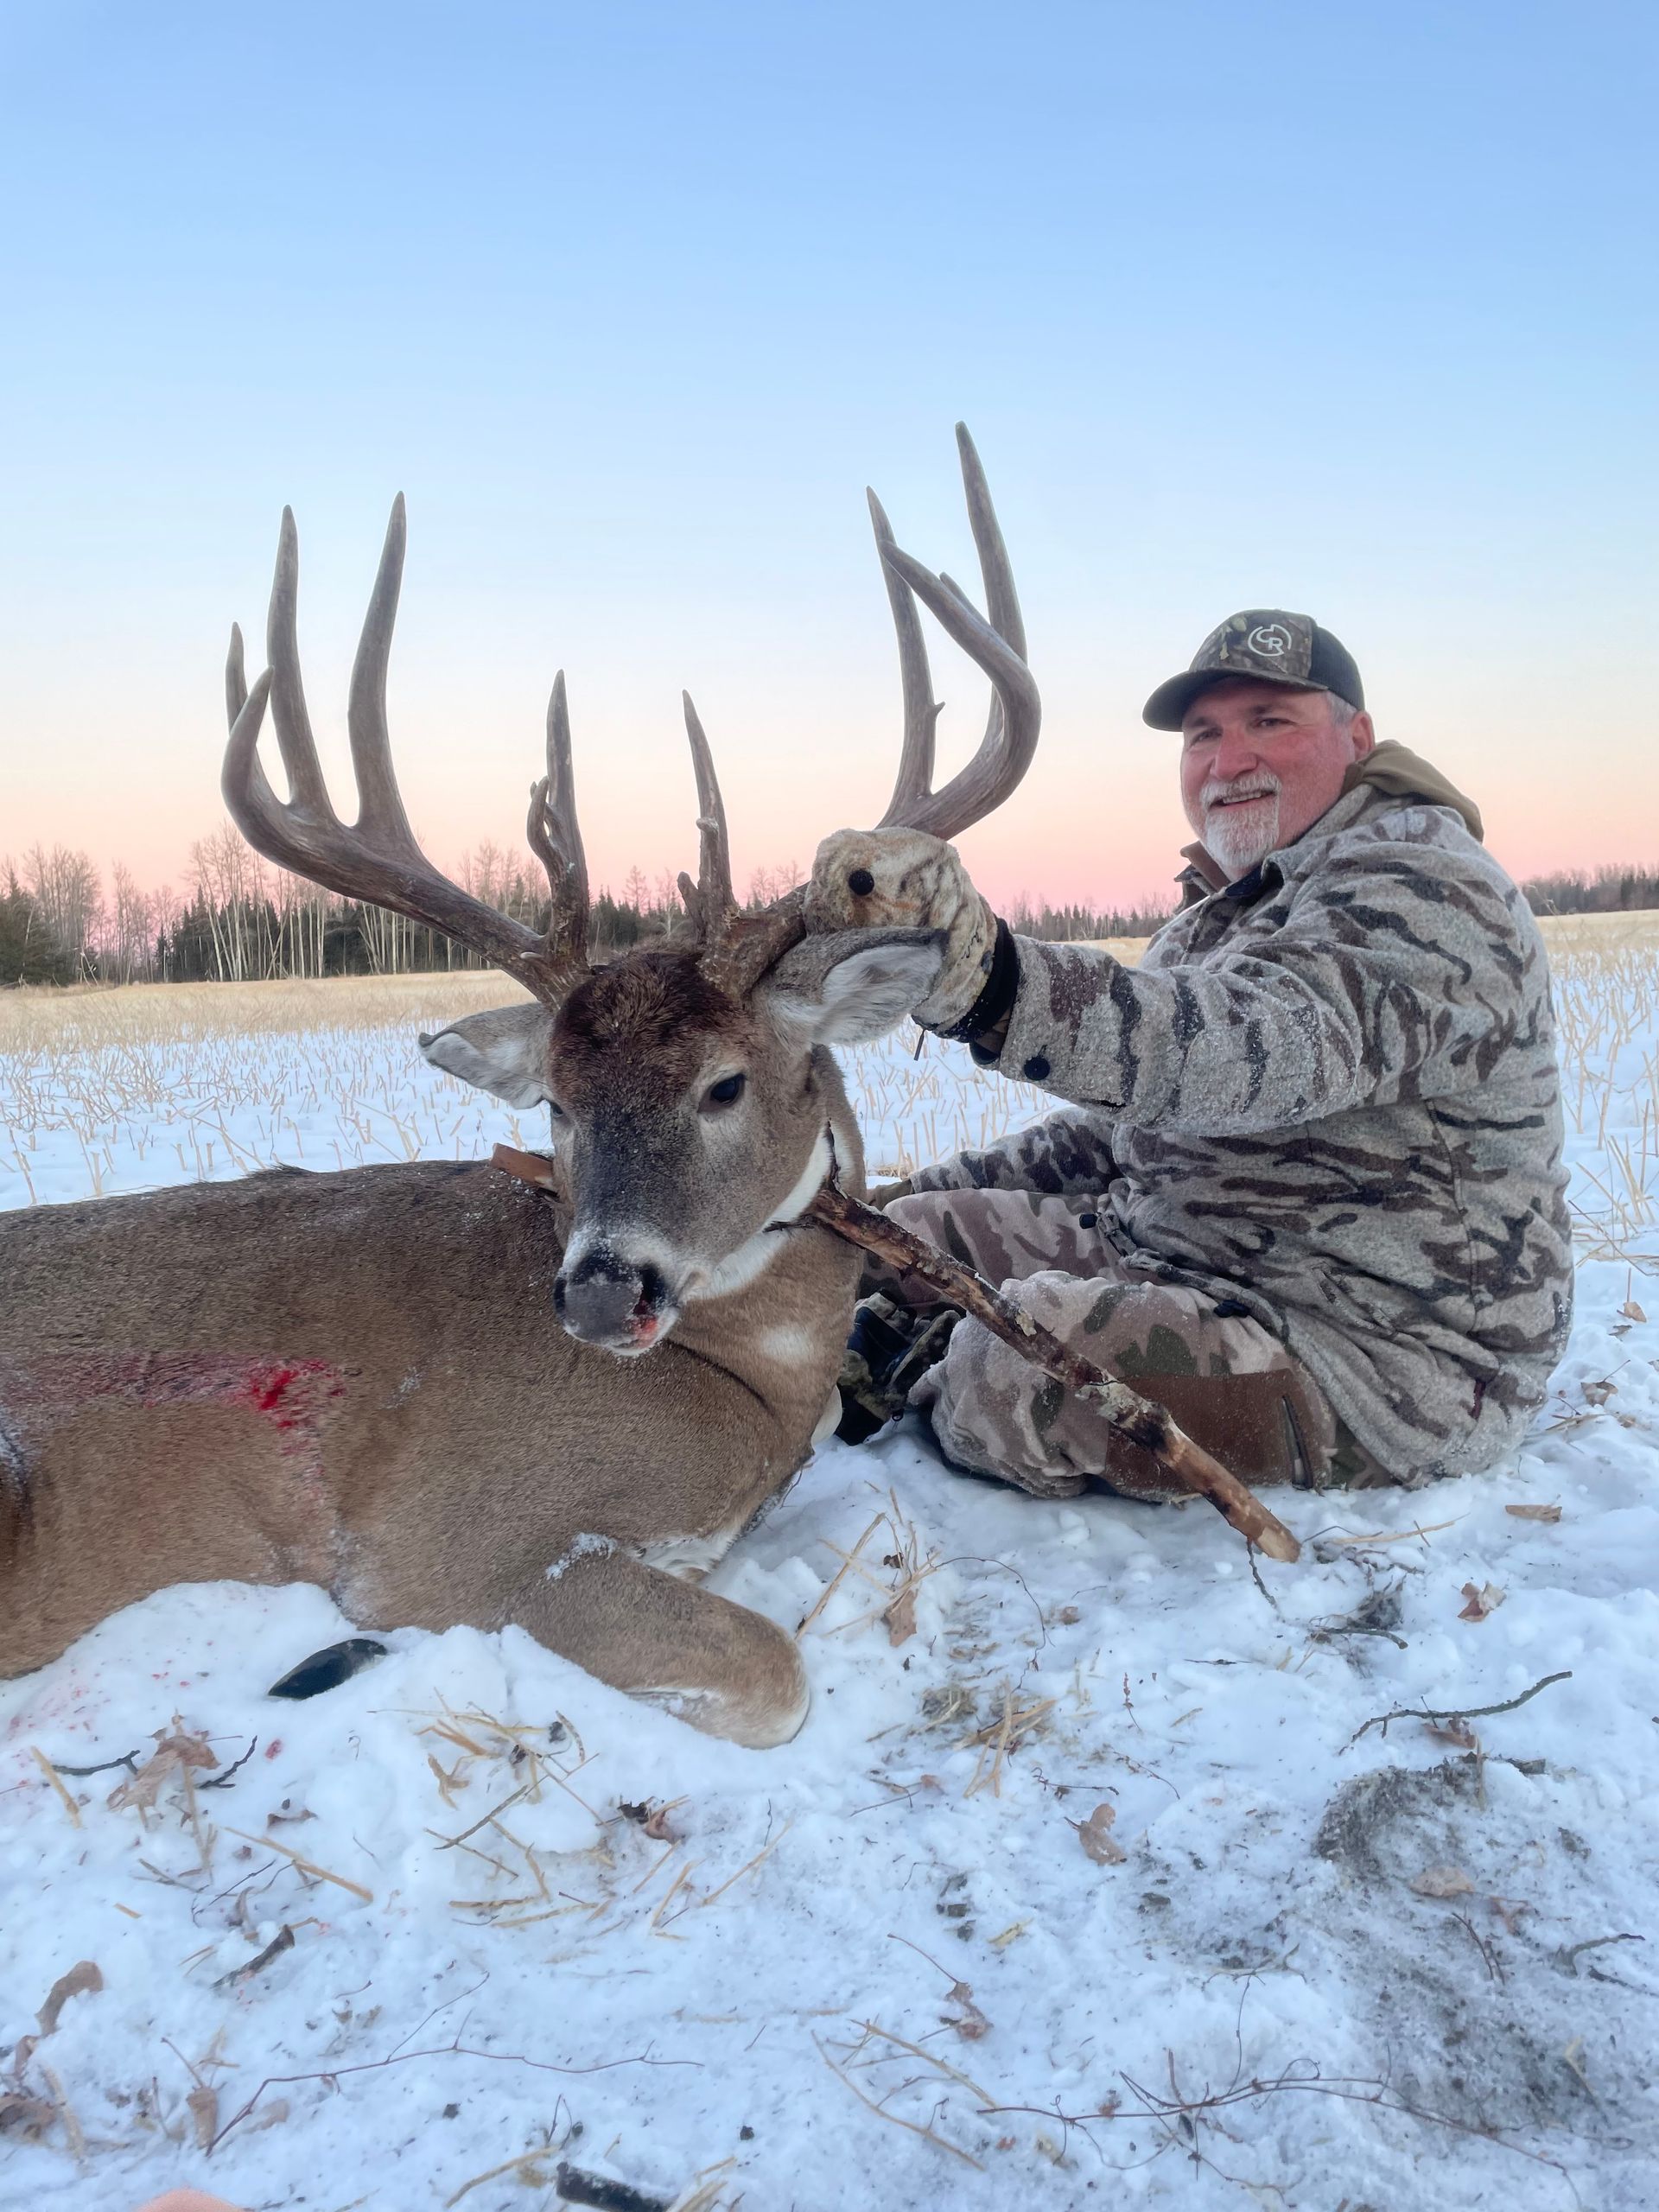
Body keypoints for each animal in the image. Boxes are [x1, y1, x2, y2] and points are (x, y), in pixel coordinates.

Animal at [0, 429, 1039, 1747]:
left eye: (726, 1084)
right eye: (552, 1099)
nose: (598, 1294)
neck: (752, 1377)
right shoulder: (446, 1545)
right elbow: (776, 1672)